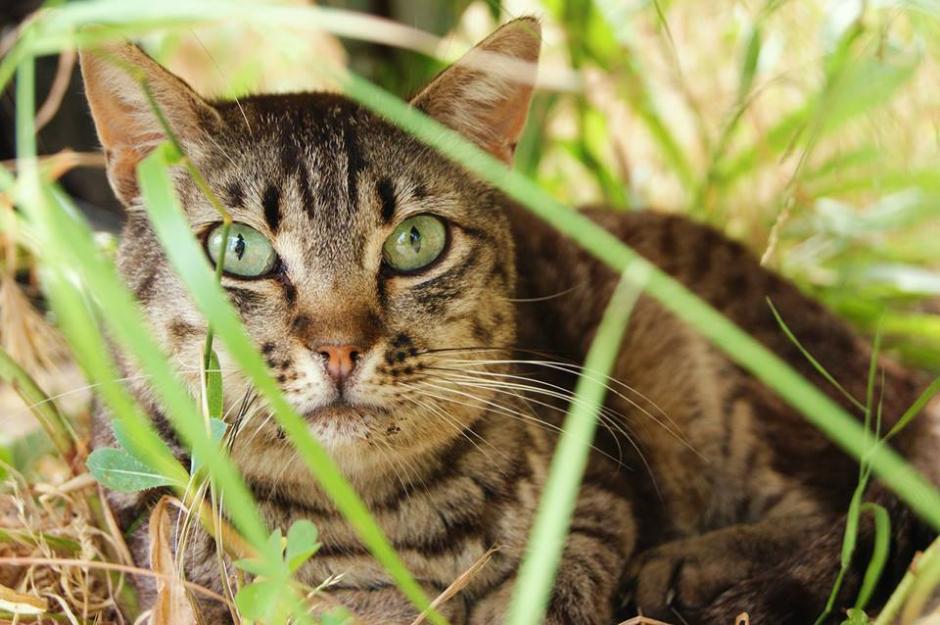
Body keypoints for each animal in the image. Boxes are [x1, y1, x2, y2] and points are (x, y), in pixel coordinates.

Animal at [82, 17, 940, 620]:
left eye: (416, 242)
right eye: (241, 249)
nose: (340, 348)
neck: (376, 516)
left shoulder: (595, 497)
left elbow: (551, 585)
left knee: (847, 503)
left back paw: (695, 566)